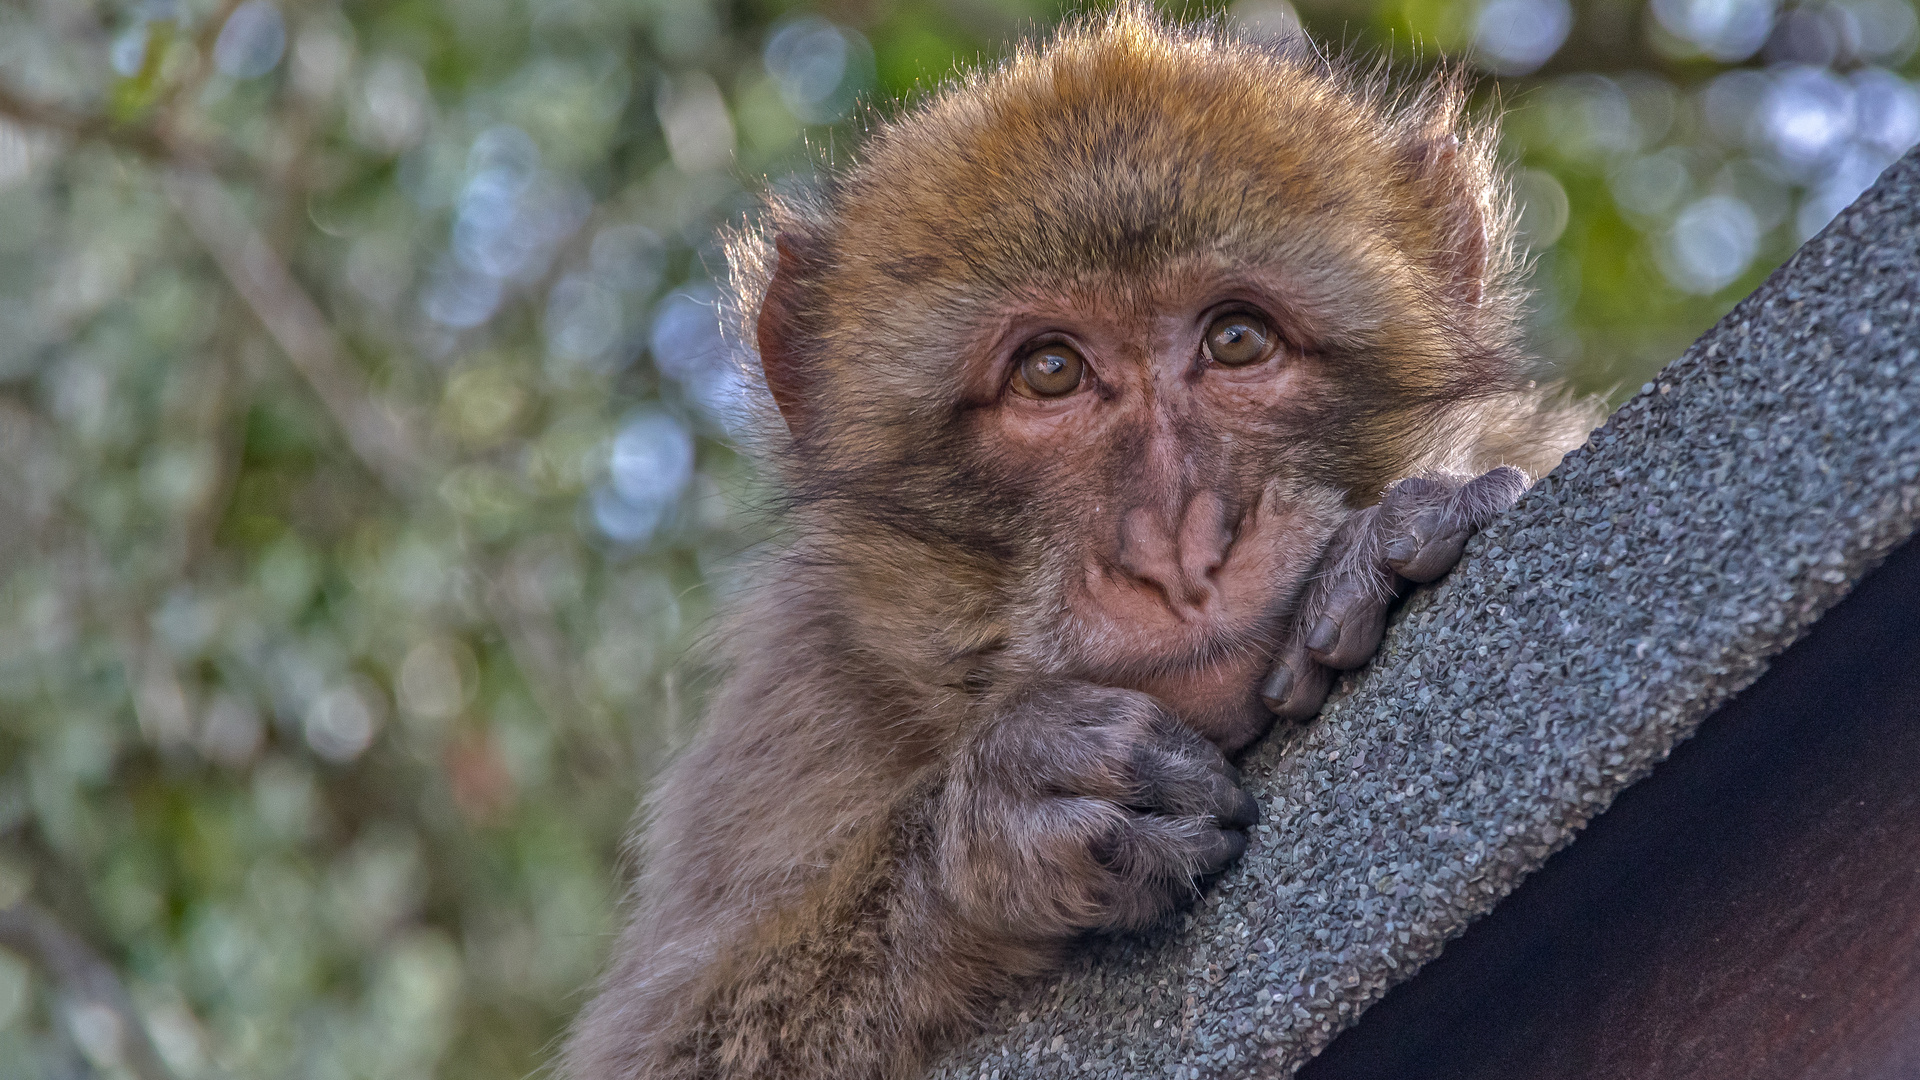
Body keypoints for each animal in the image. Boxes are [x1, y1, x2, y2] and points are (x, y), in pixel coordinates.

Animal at [560, 8, 1597, 1076]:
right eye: (1050, 370)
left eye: (1236, 339)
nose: (1176, 546)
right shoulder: (795, 704)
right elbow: (665, 1047)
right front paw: (998, 827)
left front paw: (1402, 538)